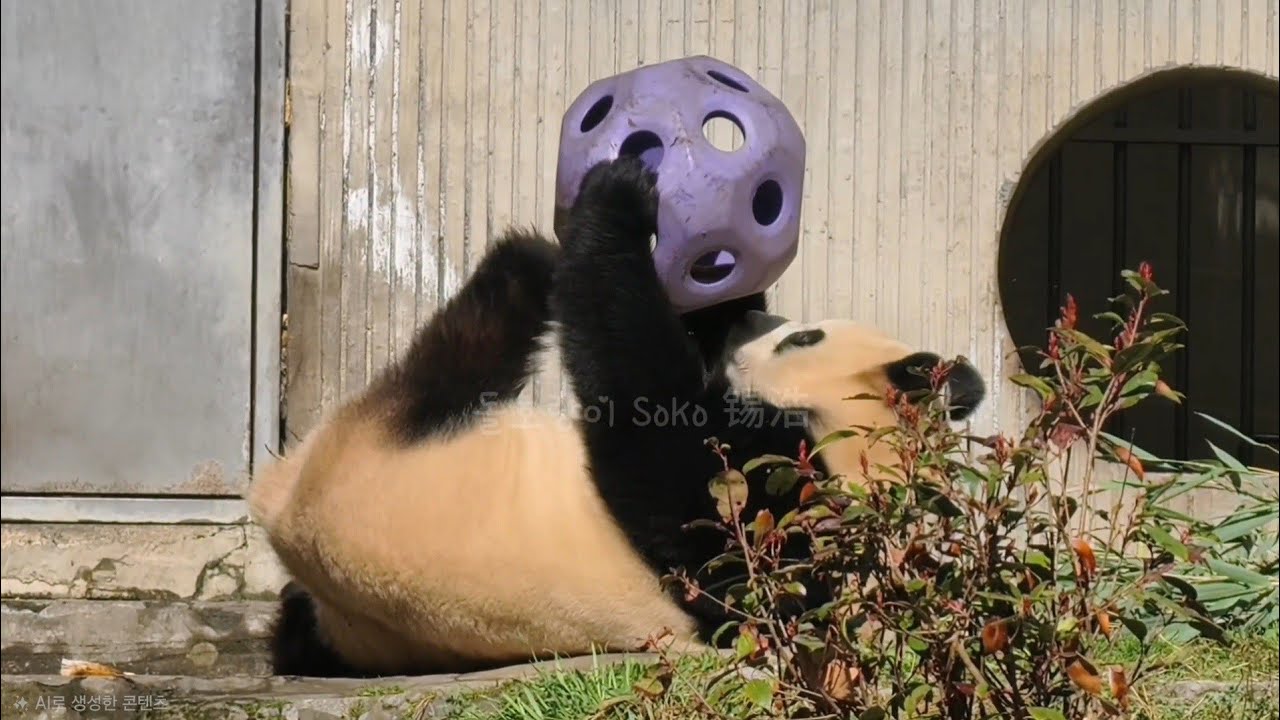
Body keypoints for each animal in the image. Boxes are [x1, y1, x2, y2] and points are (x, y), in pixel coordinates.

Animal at [247, 156, 987, 678]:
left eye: (803, 339)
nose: (756, 319)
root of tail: (284, 514)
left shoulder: (771, 502)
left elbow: (652, 422)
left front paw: (620, 197)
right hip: (369, 626)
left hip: (383, 451)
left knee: (473, 335)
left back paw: (535, 253)